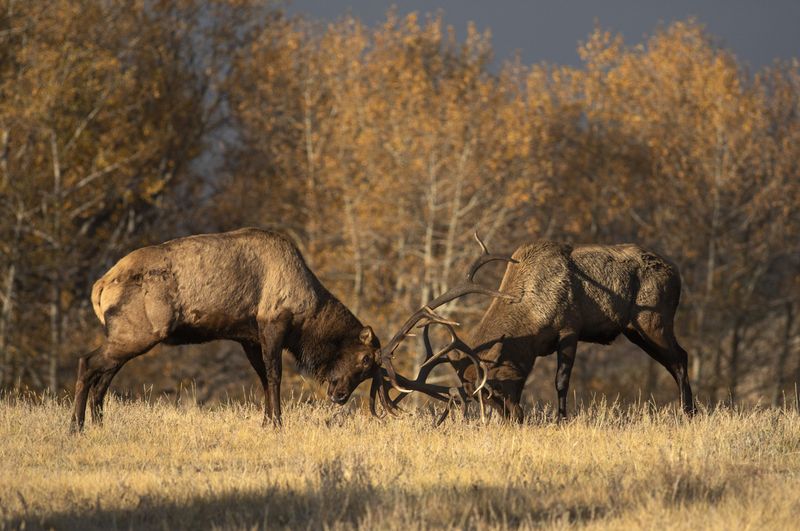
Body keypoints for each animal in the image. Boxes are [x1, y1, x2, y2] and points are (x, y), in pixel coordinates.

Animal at [70, 229, 382, 432]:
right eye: (365, 359)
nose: (340, 396)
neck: (307, 315)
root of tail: (100, 286)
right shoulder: (273, 323)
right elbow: (274, 376)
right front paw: (278, 423)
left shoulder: (249, 337)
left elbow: (263, 379)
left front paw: (266, 422)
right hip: (138, 333)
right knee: (87, 361)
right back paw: (76, 426)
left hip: (124, 334)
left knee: (104, 376)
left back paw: (98, 424)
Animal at [380, 239, 692, 422]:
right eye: (479, 396)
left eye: (491, 388)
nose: (514, 418)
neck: (531, 318)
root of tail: (677, 272)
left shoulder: (569, 328)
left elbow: (561, 380)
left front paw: (561, 420)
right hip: (635, 330)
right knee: (676, 360)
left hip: (654, 320)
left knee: (680, 358)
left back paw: (689, 412)